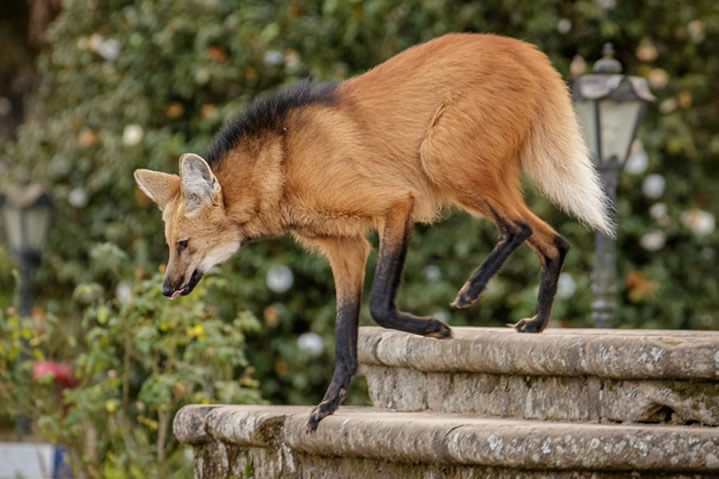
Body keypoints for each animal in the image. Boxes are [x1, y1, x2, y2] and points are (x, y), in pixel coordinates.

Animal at [134, 33, 612, 432]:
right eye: (170, 247)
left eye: (183, 245)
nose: (166, 288)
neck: (280, 166)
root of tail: (523, 50)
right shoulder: (346, 248)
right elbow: (344, 336)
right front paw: (328, 405)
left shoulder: (394, 204)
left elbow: (379, 305)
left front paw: (435, 329)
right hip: (472, 177)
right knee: (554, 240)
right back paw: (536, 324)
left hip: (442, 160)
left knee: (518, 227)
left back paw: (471, 291)